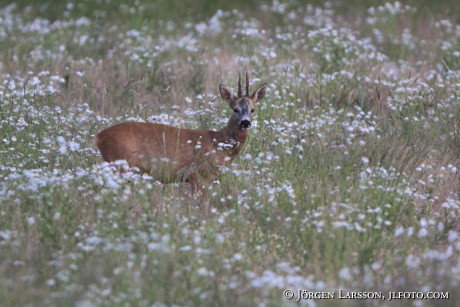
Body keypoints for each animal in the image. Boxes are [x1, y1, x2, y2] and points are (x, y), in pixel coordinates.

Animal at [94, 70, 266, 200]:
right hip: (120, 164)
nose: (245, 123)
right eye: (235, 109)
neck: (218, 144)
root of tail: (99, 136)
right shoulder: (199, 176)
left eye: (252, 109)